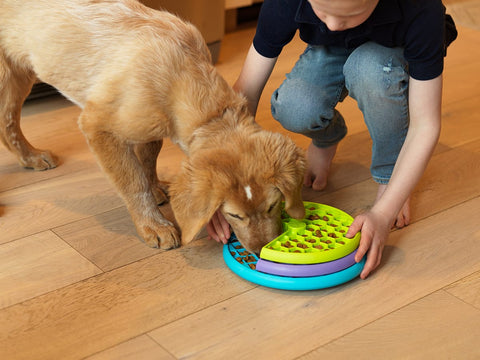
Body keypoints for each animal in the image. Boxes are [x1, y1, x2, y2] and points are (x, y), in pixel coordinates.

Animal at [0, 0, 306, 253]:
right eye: (233, 215)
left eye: (273, 205)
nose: (262, 250)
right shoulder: (98, 126)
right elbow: (133, 181)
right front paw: (154, 225)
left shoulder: (152, 125)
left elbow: (148, 157)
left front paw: (156, 187)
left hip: (19, 73)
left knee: (7, 123)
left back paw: (31, 157)